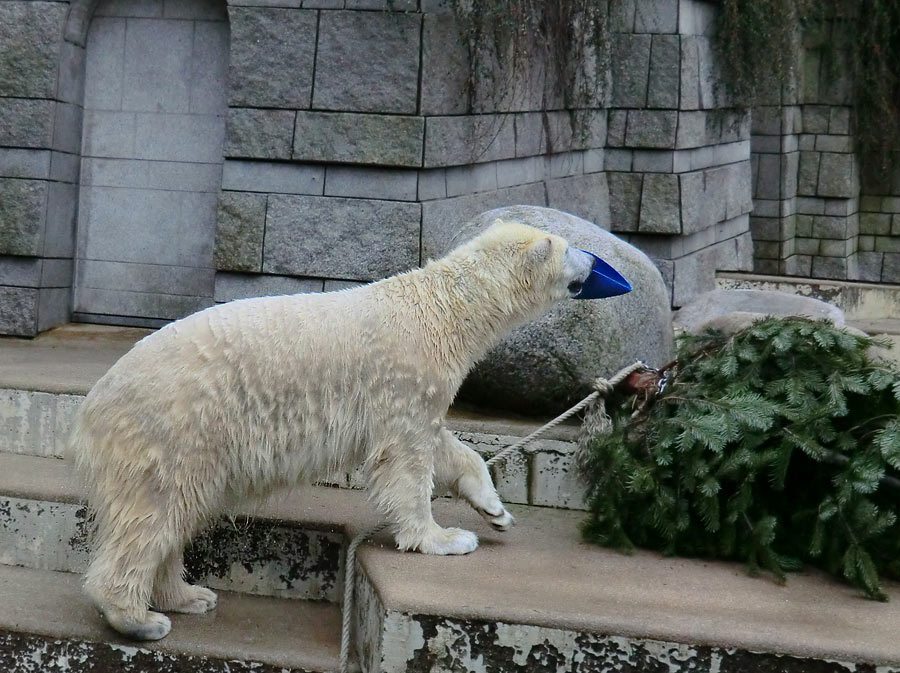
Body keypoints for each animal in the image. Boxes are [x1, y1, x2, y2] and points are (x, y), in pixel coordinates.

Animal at [68, 220, 624, 640]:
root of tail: (92, 406)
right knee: (155, 514)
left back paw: (188, 595)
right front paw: (445, 538)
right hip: (175, 431)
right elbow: (405, 460)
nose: (596, 261)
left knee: (180, 513)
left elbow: (442, 444)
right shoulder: (405, 376)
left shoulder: (417, 388)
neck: (443, 308)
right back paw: (140, 619)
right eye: (569, 247)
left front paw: (496, 510)